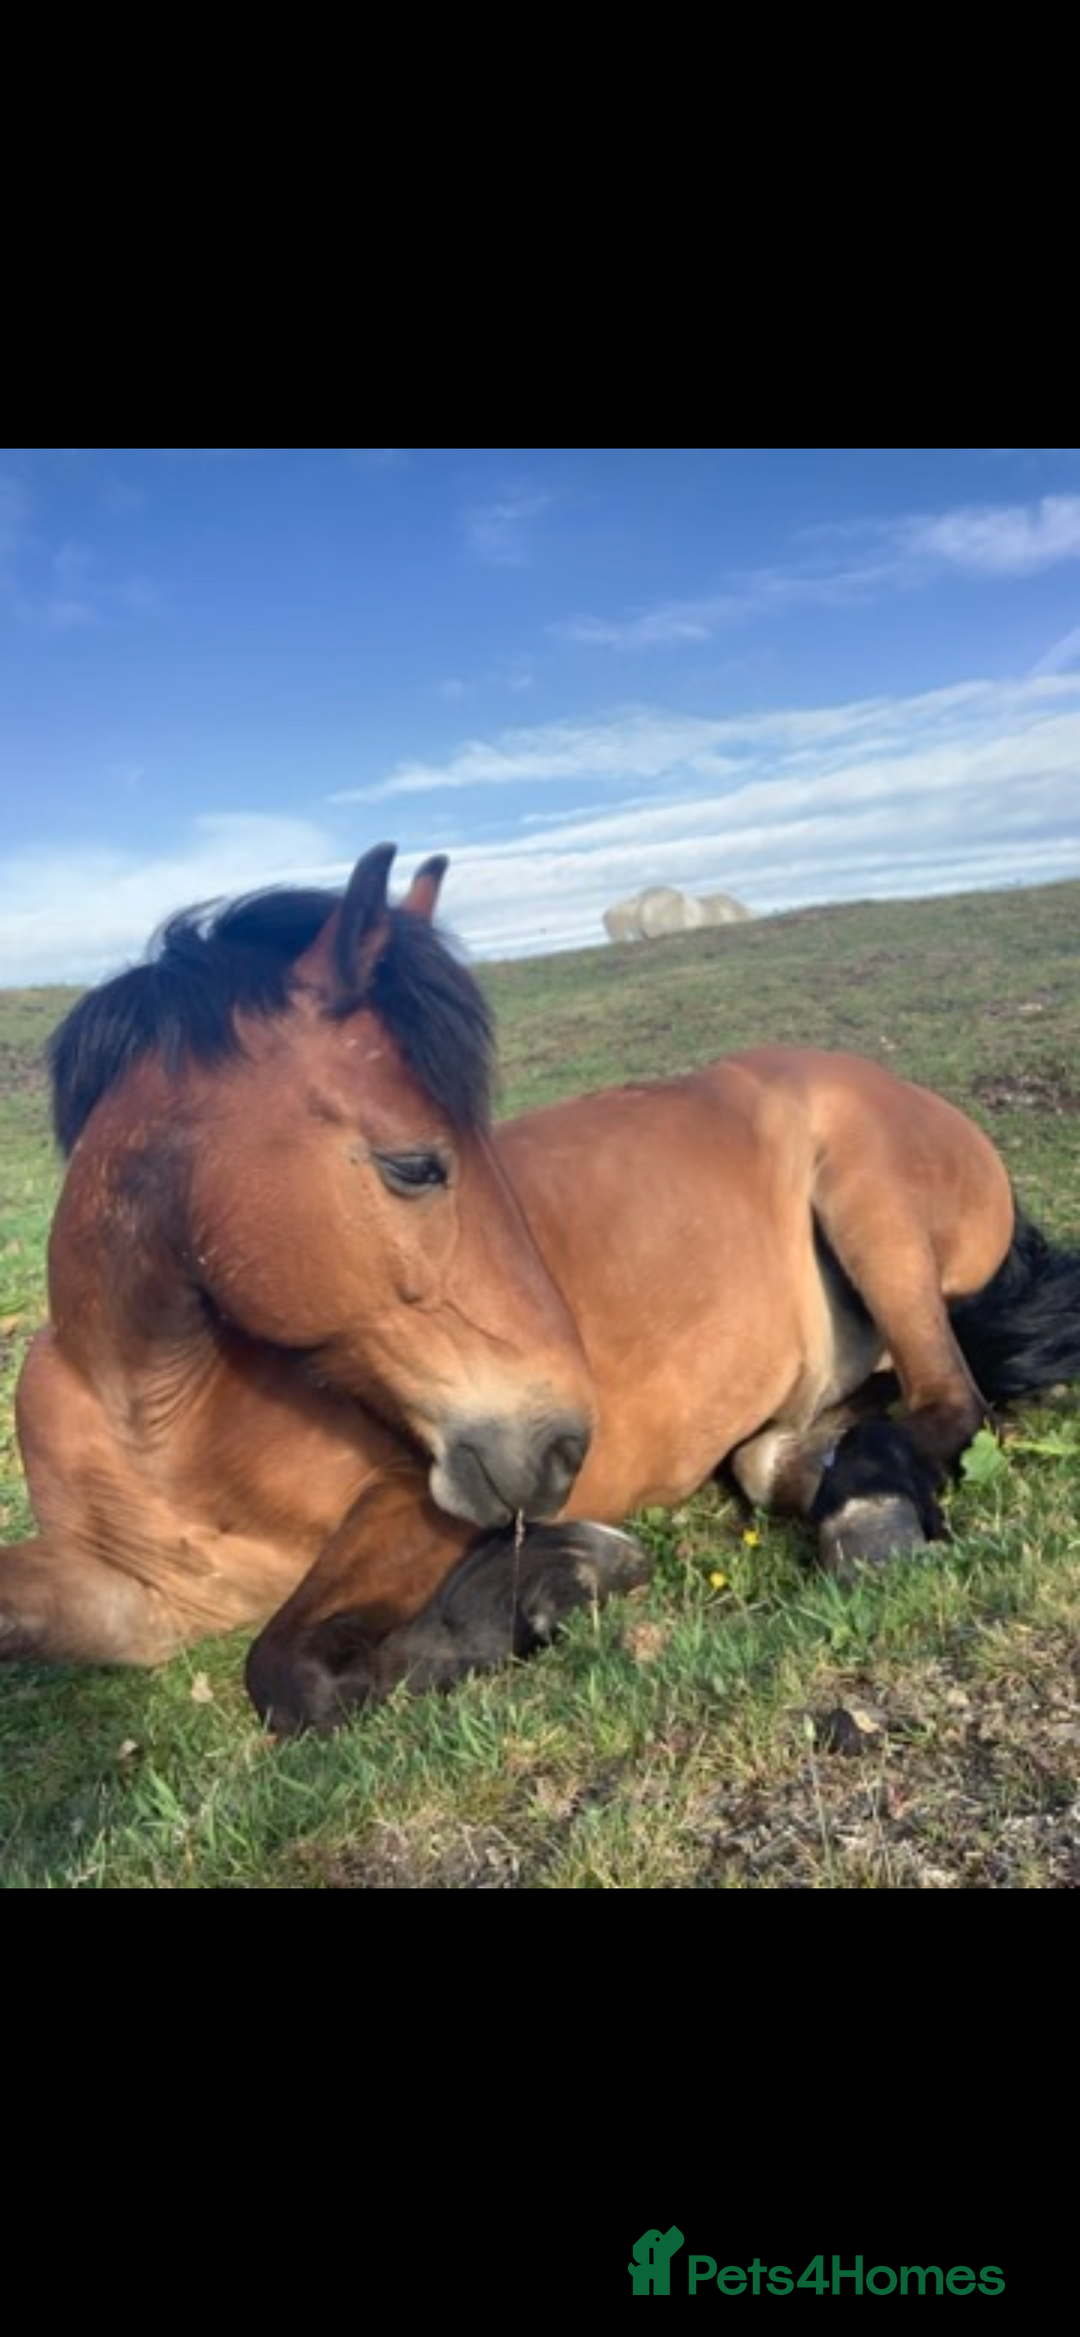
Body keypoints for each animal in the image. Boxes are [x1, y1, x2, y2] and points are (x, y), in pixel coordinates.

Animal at [5, 846, 1080, 1733]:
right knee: (793, 1445)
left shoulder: (406, 1494)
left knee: (950, 1399)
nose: (565, 1442)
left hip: (872, 1210)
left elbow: (290, 1671)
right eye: (414, 1164)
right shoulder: (126, 1597)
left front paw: (553, 1579)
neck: (154, 1411)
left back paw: (868, 1510)